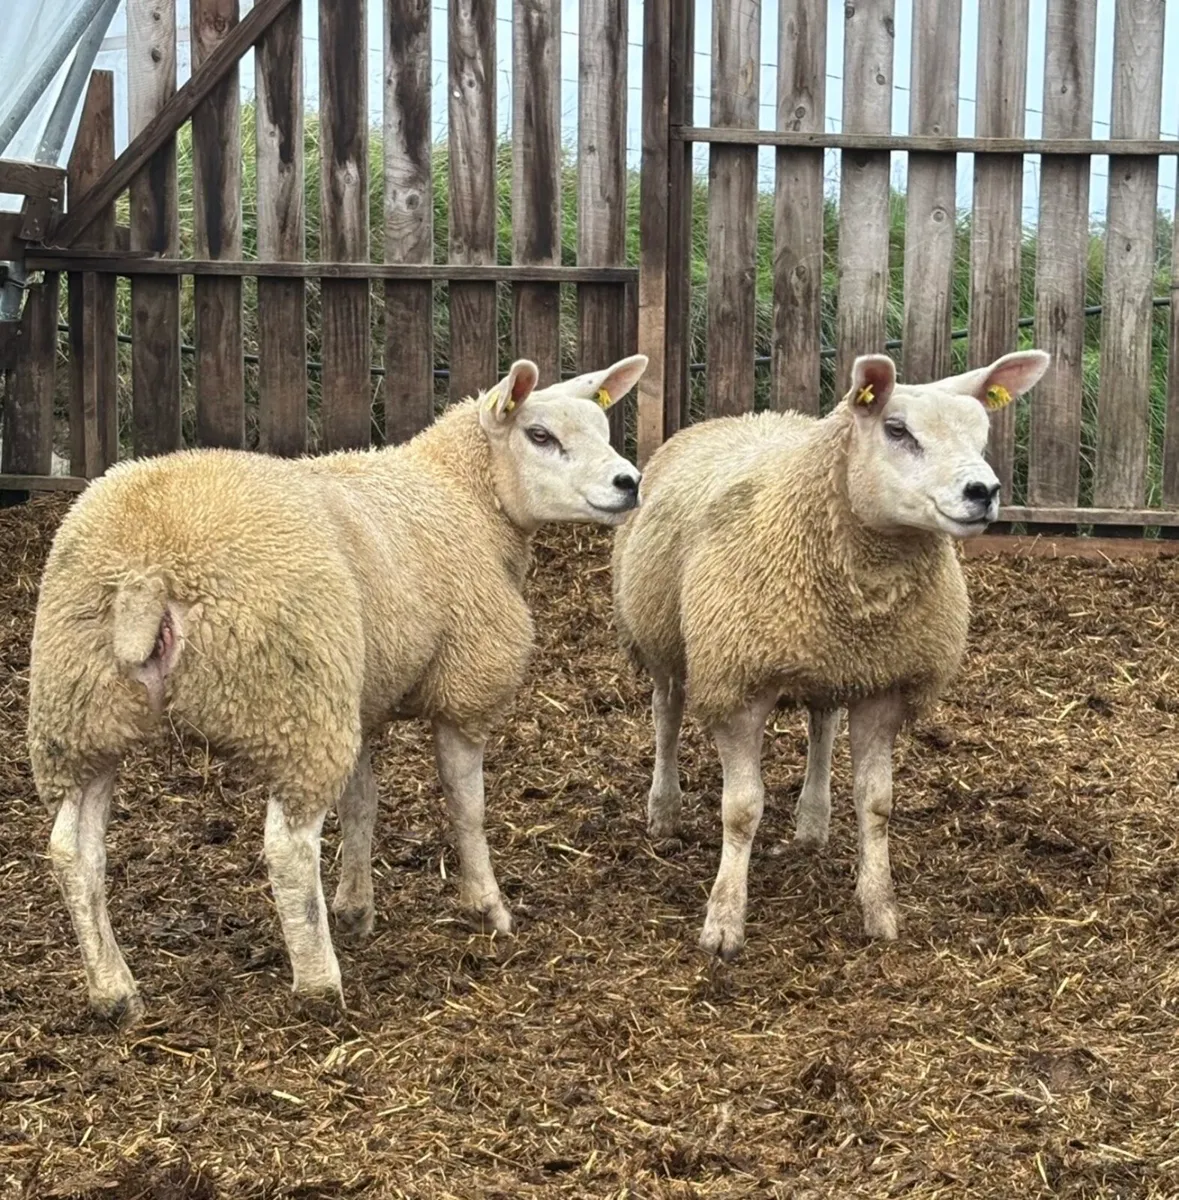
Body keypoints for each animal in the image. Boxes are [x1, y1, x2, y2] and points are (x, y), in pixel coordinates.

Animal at [28, 353, 648, 1025]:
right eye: (539, 435)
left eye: (602, 428)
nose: (629, 482)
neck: (462, 494)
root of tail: (147, 575)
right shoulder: (463, 686)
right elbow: (467, 806)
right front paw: (487, 907)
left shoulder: (361, 694)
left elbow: (362, 802)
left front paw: (355, 908)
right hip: (293, 702)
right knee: (287, 847)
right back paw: (319, 984)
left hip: (82, 711)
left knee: (73, 851)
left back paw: (113, 991)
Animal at [612, 349, 1050, 958]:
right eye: (897, 430)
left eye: (981, 432)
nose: (982, 491)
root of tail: (745, 415)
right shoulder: (737, 682)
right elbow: (741, 810)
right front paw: (724, 921)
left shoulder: (886, 684)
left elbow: (877, 803)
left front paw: (880, 909)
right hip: (660, 638)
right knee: (666, 715)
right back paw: (664, 811)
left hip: (831, 663)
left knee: (822, 725)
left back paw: (812, 824)